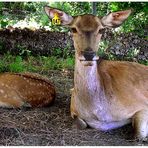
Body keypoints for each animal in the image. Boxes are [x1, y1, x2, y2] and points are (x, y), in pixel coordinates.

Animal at [44, 6, 148, 140]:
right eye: (73, 29)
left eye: (101, 30)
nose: (89, 55)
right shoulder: (73, 110)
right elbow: (81, 123)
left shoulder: (142, 105)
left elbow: (139, 134)